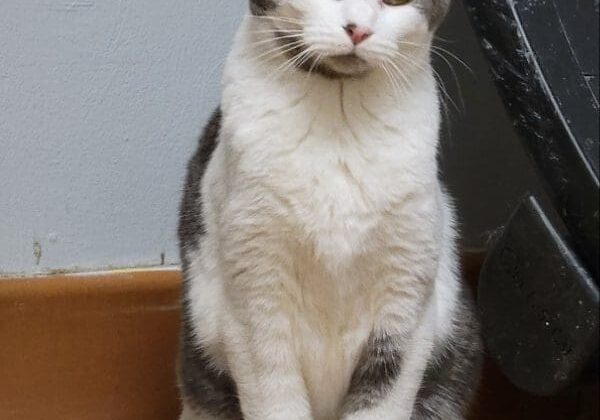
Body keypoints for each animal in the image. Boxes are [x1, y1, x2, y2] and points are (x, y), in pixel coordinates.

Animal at [177, 0, 482, 420]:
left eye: (396, 2)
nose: (358, 29)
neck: (339, 118)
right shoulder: (255, 304)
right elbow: (275, 399)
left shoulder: (405, 303)